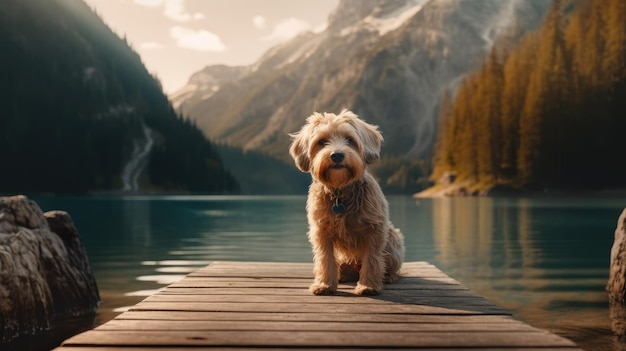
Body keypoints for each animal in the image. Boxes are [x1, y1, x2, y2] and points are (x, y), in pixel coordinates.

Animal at [288, 110, 404, 296]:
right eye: (322, 141)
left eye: (349, 139)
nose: (337, 155)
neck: (340, 192)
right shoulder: (322, 232)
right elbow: (325, 259)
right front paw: (324, 284)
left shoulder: (375, 230)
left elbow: (372, 259)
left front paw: (368, 286)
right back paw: (341, 274)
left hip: (393, 238)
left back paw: (388, 277)